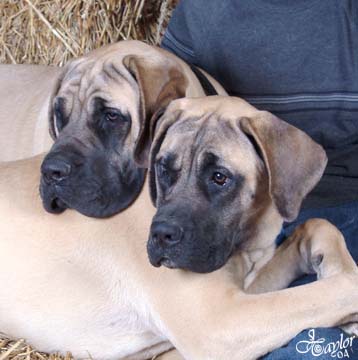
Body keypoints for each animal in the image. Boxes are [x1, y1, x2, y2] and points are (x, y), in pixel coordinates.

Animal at [0, 96, 356, 360]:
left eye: (219, 177)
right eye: (164, 168)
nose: (161, 236)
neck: (246, 240)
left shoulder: (242, 291)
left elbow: (317, 225)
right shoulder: (218, 320)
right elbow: (328, 292)